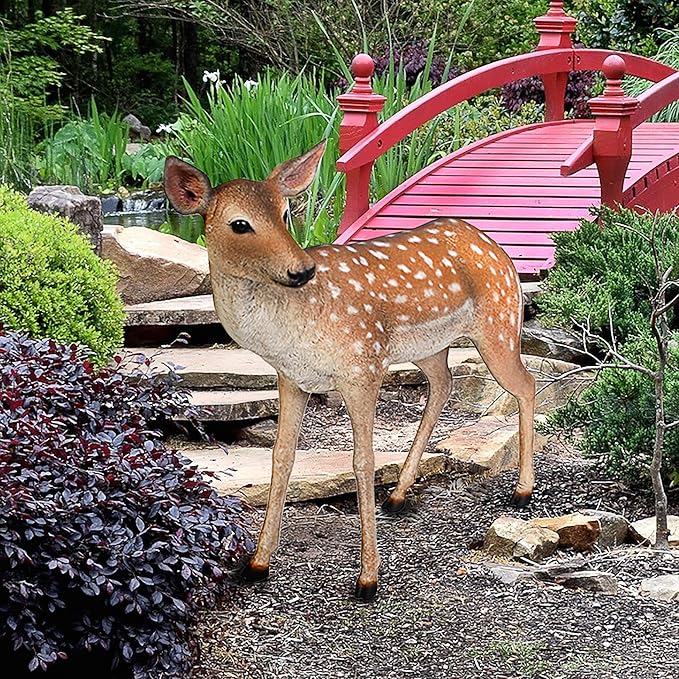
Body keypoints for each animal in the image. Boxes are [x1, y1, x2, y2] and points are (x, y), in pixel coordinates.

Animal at [163, 141, 536, 602]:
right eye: (239, 224)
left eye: (285, 213)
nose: (302, 269)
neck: (292, 326)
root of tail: (495, 247)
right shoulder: (292, 378)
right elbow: (282, 456)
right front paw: (256, 564)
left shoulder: (363, 365)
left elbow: (363, 461)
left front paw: (368, 579)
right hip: (428, 347)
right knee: (443, 383)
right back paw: (397, 497)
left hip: (498, 324)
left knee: (526, 384)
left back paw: (522, 492)